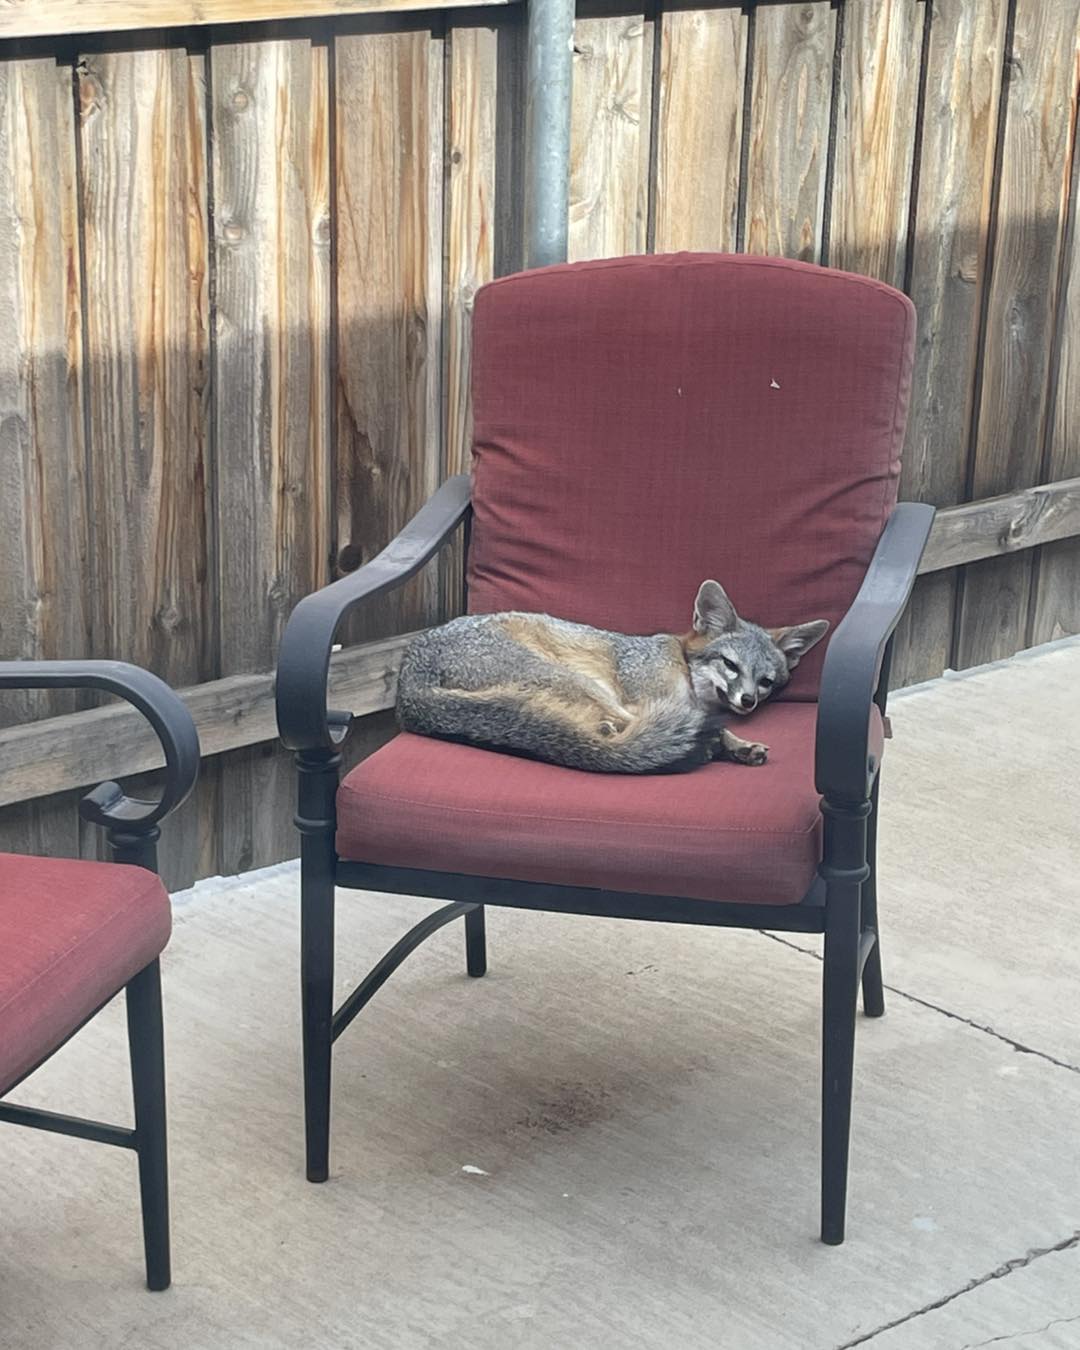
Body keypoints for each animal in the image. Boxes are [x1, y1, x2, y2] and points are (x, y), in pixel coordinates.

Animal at [396, 583, 826, 783]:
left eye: (766, 681)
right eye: (731, 665)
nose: (748, 700)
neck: (681, 664)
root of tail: (408, 684)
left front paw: (740, 744)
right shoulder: (649, 699)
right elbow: (707, 726)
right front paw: (731, 742)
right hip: (581, 683)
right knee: (616, 734)